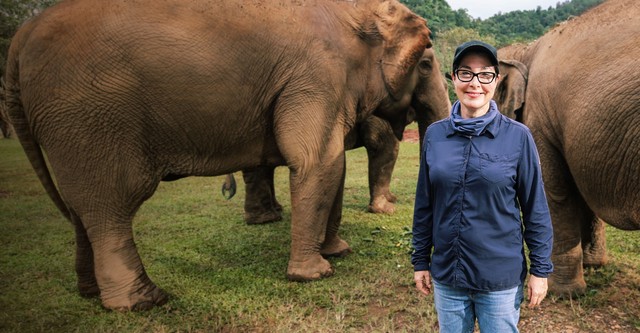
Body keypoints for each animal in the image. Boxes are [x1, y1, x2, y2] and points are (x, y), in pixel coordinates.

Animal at [225, 46, 450, 223]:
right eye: (425, 65)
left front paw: (390, 199)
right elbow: (385, 146)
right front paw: (386, 209)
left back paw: (273, 212)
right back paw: (266, 218)